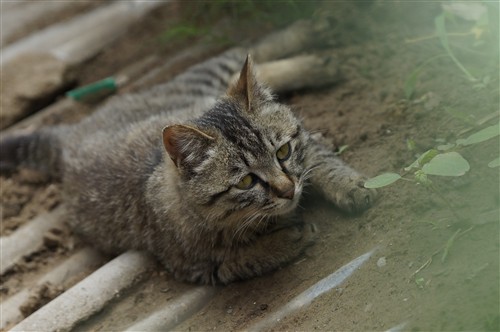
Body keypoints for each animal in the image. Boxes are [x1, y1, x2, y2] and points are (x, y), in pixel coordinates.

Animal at [0, 48, 376, 284]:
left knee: (240, 55)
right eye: (245, 182)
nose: (288, 190)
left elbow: (323, 163)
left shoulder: (308, 144)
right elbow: (246, 257)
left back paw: (318, 48)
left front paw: (353, 187)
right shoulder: (198, 266)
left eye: (283, 152)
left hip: (205, 79)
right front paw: (286, 239)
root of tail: (73, 132)